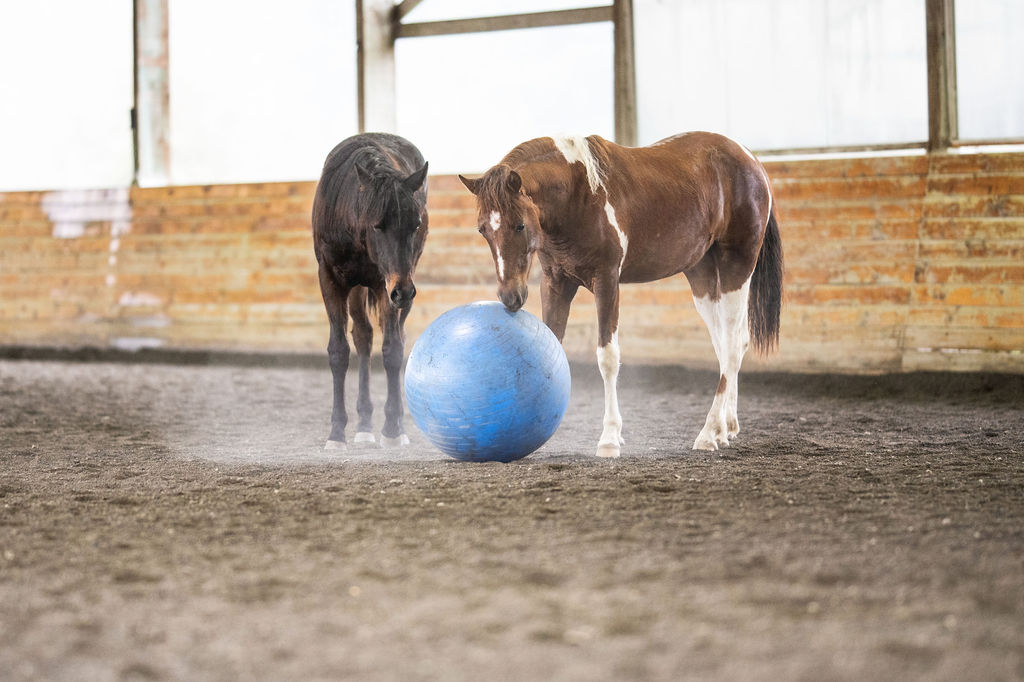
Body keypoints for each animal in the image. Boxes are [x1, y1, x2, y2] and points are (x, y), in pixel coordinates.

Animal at [460, 130, 778, 454]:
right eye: (483, 230)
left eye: (520, 225)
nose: (510, 296)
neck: (578, 196)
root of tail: (751, 160)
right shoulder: (555, 284)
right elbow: (552, 349)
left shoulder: (607, 282)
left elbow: (608, 358)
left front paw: (610, 438)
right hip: (703, 278)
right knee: (730, 345)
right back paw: (726, 428)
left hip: (736, 268)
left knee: (731, 344)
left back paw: (709, 432)